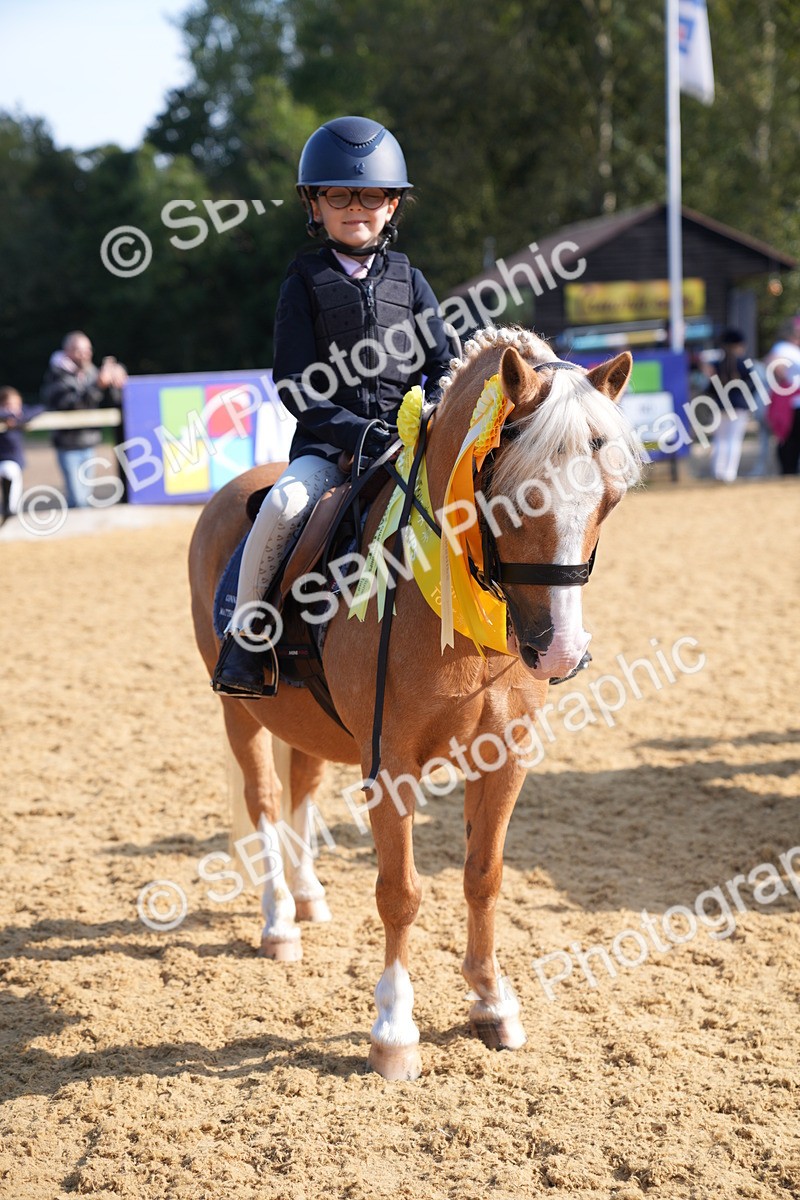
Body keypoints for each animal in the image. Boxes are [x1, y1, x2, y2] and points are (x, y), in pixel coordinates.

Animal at [188, 326, 642, 1080]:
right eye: (516, 498)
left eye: (610, 498)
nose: (558, 653)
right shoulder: (389, 763)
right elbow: (400, 893)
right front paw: (395, 1031)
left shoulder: (504, 758)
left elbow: (483, 876)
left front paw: (492, 1002)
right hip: (238, 712)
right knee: (263, 803)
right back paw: (279, 922)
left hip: (308, 724)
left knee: (301, 787)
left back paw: (308, 899)